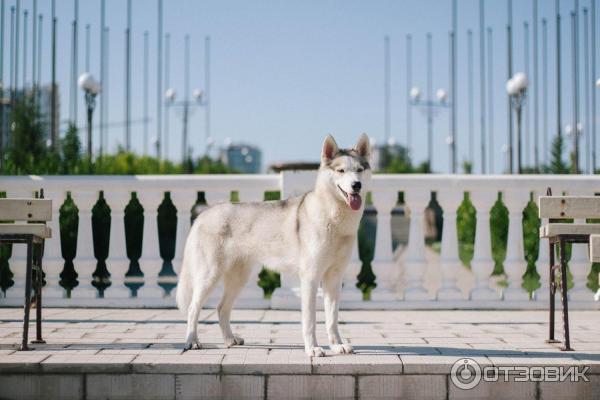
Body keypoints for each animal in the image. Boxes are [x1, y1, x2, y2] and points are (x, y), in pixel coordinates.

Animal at [176, 134, 370, 356]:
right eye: (341, 171)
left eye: (359, 170)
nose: (356, 185)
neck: (336, 220)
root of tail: (204, 213)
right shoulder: (310, 278)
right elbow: (310, 321)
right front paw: (312, 348)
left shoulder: (334, 279)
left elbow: (332, 319)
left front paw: (337, 345)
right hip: (209, 276)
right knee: (193, 308)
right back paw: (192, 341)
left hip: (238, 279)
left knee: (221, 308)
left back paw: (230, 339)